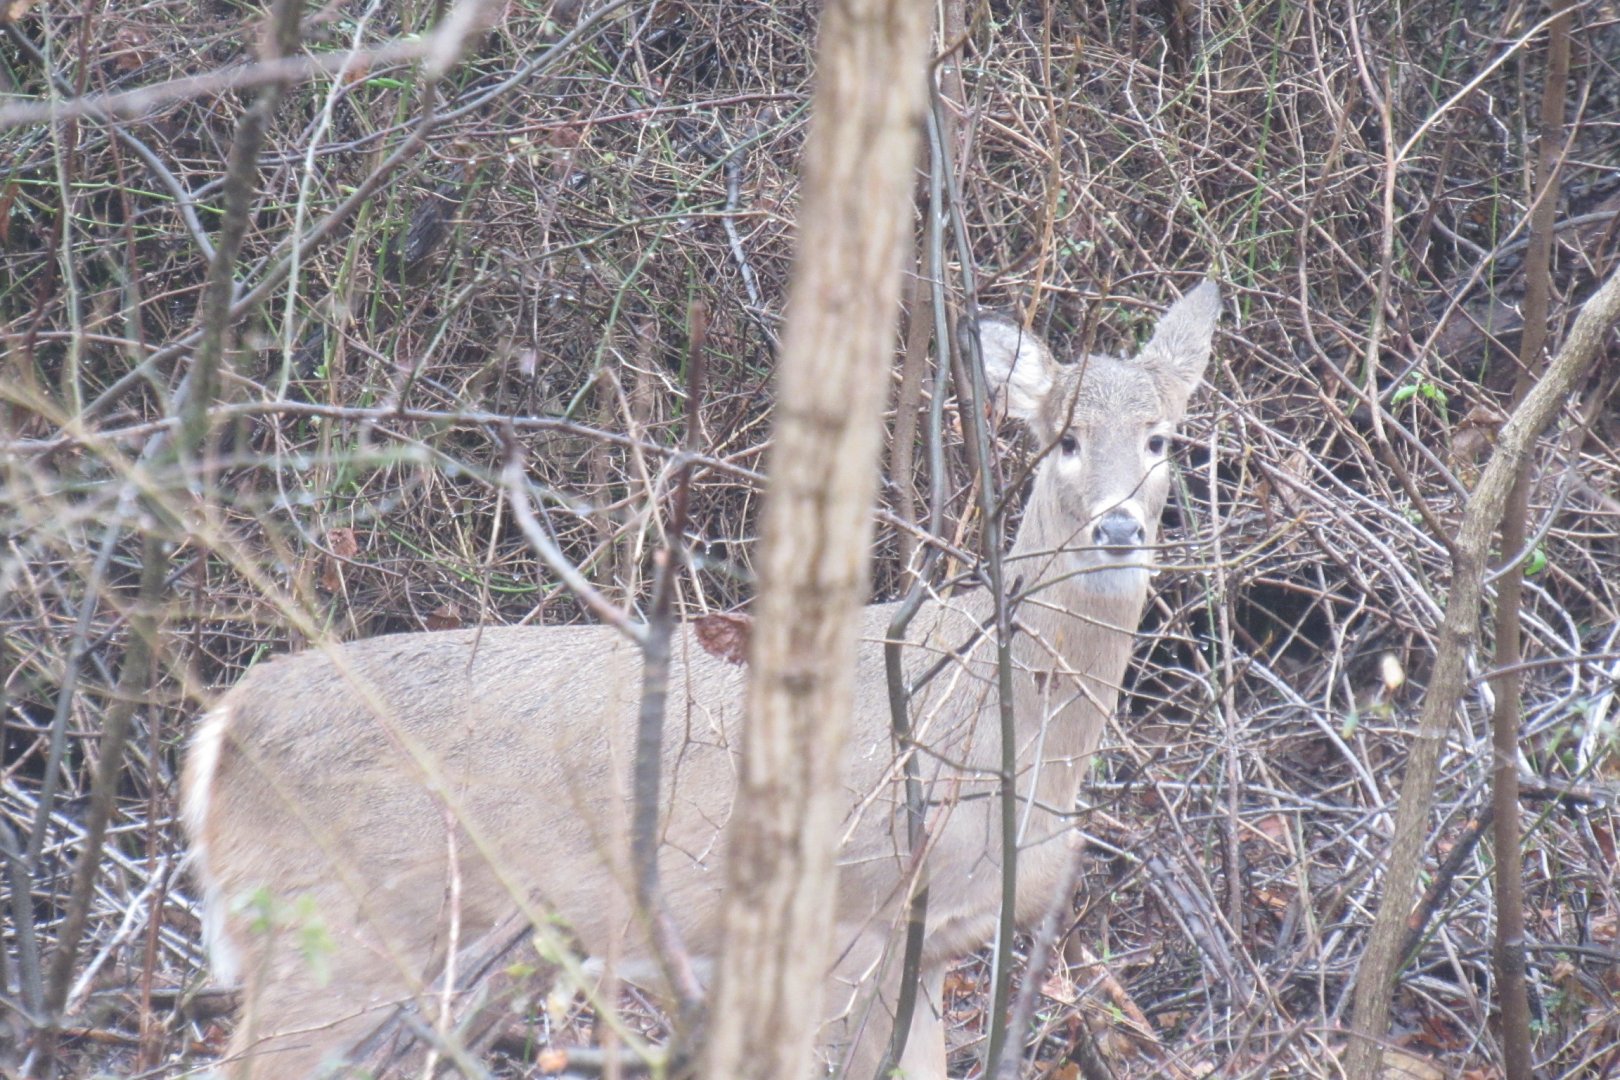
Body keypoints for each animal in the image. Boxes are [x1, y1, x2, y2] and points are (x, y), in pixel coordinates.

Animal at [181, 278, 1219, 1079]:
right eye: (1063, 438)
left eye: (1164, 438)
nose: (1118, 528)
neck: (1013, 739)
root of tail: (224, 725)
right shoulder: (849, 916)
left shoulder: (932, 948)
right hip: (326, 932)